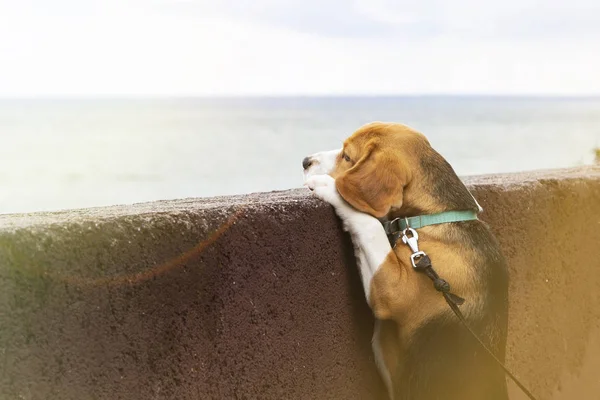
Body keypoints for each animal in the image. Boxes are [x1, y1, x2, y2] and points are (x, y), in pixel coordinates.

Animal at [302, 122, 508, 400]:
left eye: (347, 157)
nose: (305, 161)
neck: (437, 217)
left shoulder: (393, 291)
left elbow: (369, 225)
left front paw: (330, 186)